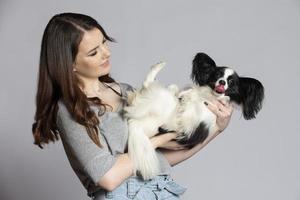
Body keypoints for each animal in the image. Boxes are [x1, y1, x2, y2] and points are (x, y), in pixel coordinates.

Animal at [123, 52, 264, 180]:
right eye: (218, 75)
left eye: (231, 82)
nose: (222, 82)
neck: (208, 97)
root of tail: (136, 123)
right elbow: (183, 93)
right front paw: (187, 95)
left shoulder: (193, 125)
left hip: (160, 102)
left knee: (148, 86)